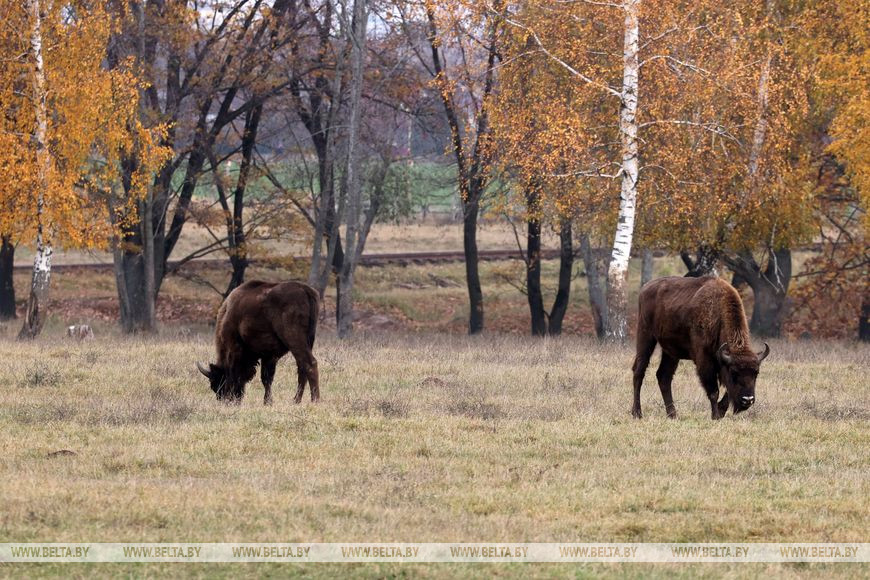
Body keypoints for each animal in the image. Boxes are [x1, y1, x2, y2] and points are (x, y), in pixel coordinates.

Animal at [632, 276, 769, 420]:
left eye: (756, 373)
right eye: (734, 372)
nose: (747, 400)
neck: (718, 312)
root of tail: (645, 288)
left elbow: (728, 391)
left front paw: (720, 411)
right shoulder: (705, 361)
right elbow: (714, 391)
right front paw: (715, 415)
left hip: (670, 352)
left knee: (664, 376)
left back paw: (673, 414)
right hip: (645, 337)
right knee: (639, 371)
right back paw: (637, 413)